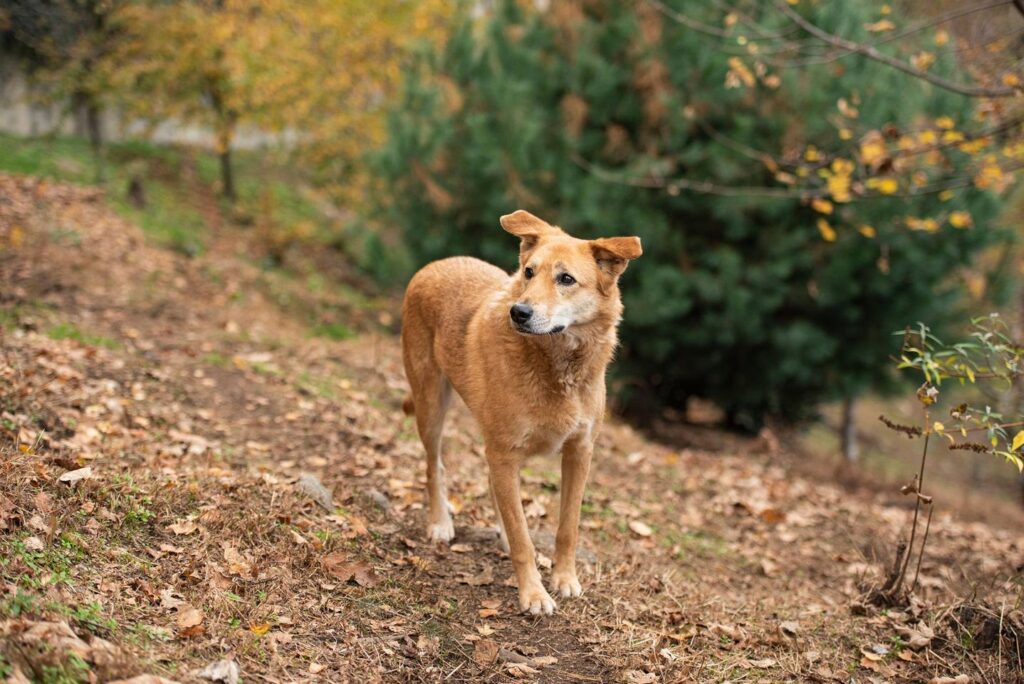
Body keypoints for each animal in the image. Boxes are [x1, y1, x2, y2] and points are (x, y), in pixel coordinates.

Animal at [399, 208, 638, 614]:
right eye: (528, 272)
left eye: (566, 279)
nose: (519, 312)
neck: (558, 366)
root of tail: (435, 264)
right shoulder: (505, 452)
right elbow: (524, 540)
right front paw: (534, 594)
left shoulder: (579, 452)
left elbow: (568, 525)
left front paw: (564, 578)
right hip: (431, 404)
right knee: (435, 466)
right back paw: (440, 521)